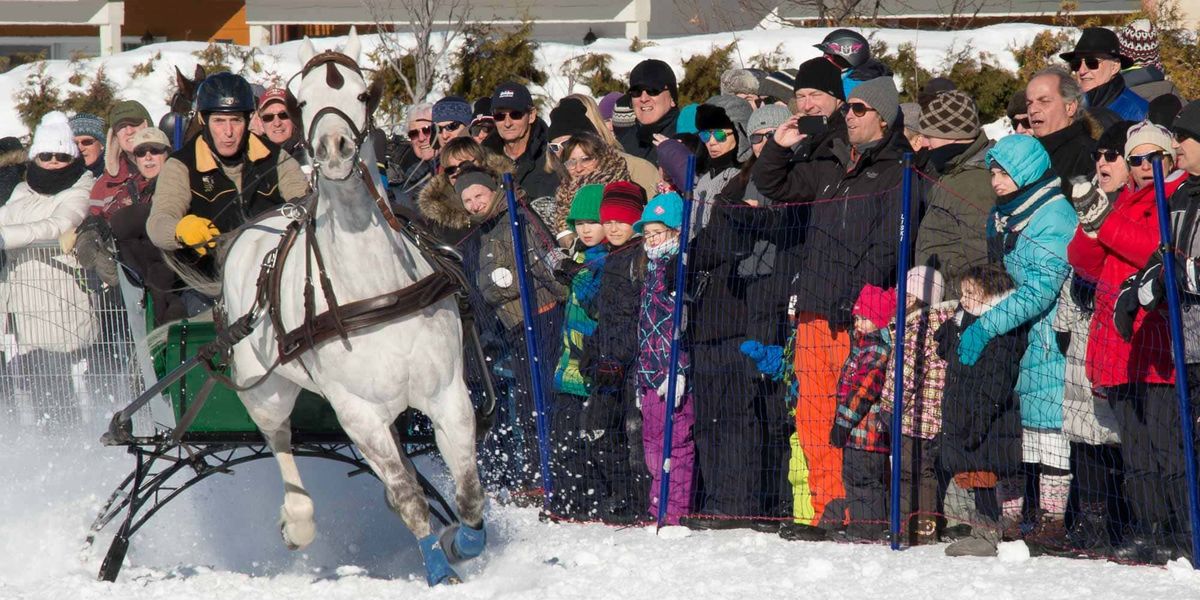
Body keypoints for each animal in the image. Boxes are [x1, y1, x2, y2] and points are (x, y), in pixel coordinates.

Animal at [216, 30, 486, 585]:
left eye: (362, 94)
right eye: (301, 102)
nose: (334, 150)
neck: (374, 284)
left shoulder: (448, 392)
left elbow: (469, 495)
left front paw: (459, 541)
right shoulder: (358, 413)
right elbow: (410, 500)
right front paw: (437, 570)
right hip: (265, 391)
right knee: (280, 440)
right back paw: (297, 520)